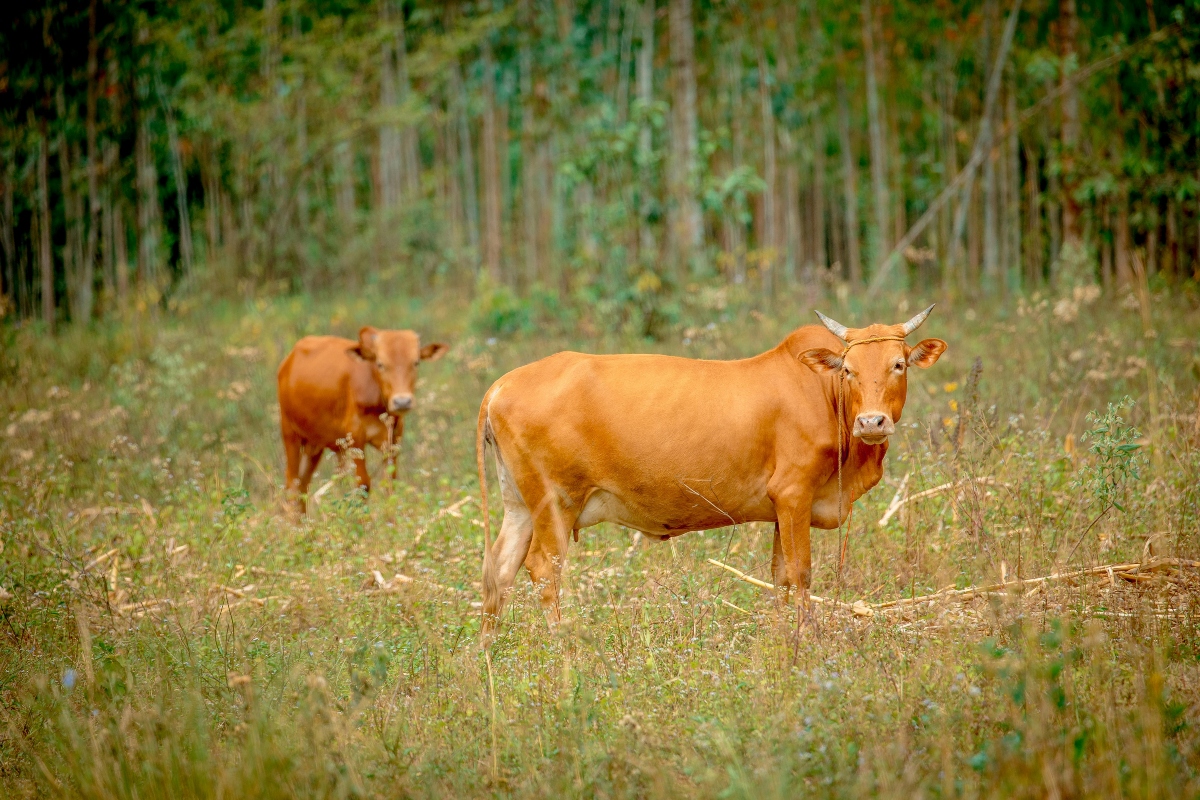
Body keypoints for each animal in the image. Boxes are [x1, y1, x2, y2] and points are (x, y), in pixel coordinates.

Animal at [277, 326, 448, 513]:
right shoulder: (356, 440)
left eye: (416, 362)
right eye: (380, 364)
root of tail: (290, 359)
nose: (402, 401)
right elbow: (363, 486)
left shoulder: (393, 442)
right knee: (292, 485)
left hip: (314, 445)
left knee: (302, 485)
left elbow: (390, 485)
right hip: (290, 434)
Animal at [476, 306, 946, 635]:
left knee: (498, 569)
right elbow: (800, 573)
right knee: (543, 569)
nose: (871, 422)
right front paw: (805, 637)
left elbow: (779, 576)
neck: (824, 393)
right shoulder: (795, 494)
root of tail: (503, 382)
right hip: (556, 502)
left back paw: (488, 653)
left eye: (898, 364)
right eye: (848, 369)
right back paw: (564, 648)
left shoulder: (782, 508)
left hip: (519, 505)